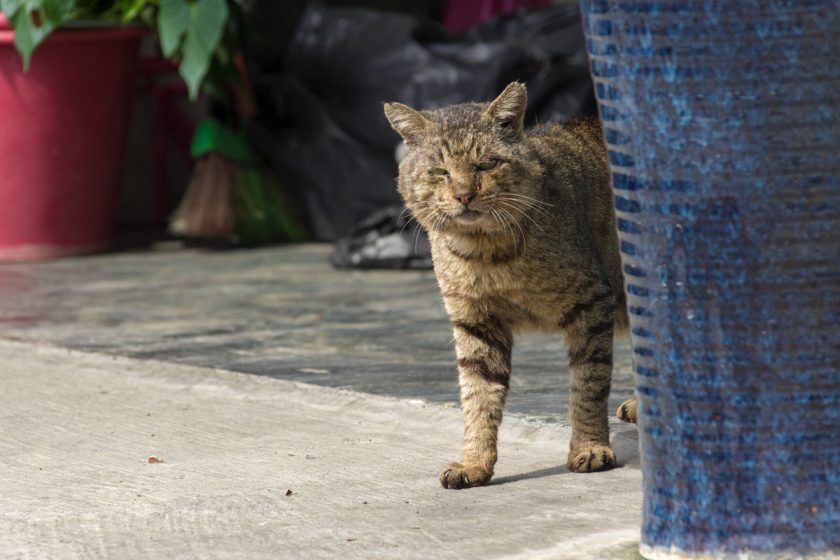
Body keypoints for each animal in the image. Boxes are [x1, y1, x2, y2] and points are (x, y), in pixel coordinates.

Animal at [384, 83, 632, 490]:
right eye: (440, 171)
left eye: (486, 164)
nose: (464, 195)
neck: (485, 254)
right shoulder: (475, 322)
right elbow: (478, 397)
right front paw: (474, 463)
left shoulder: (593, 300)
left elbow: (588, 384)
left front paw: (590, 446)